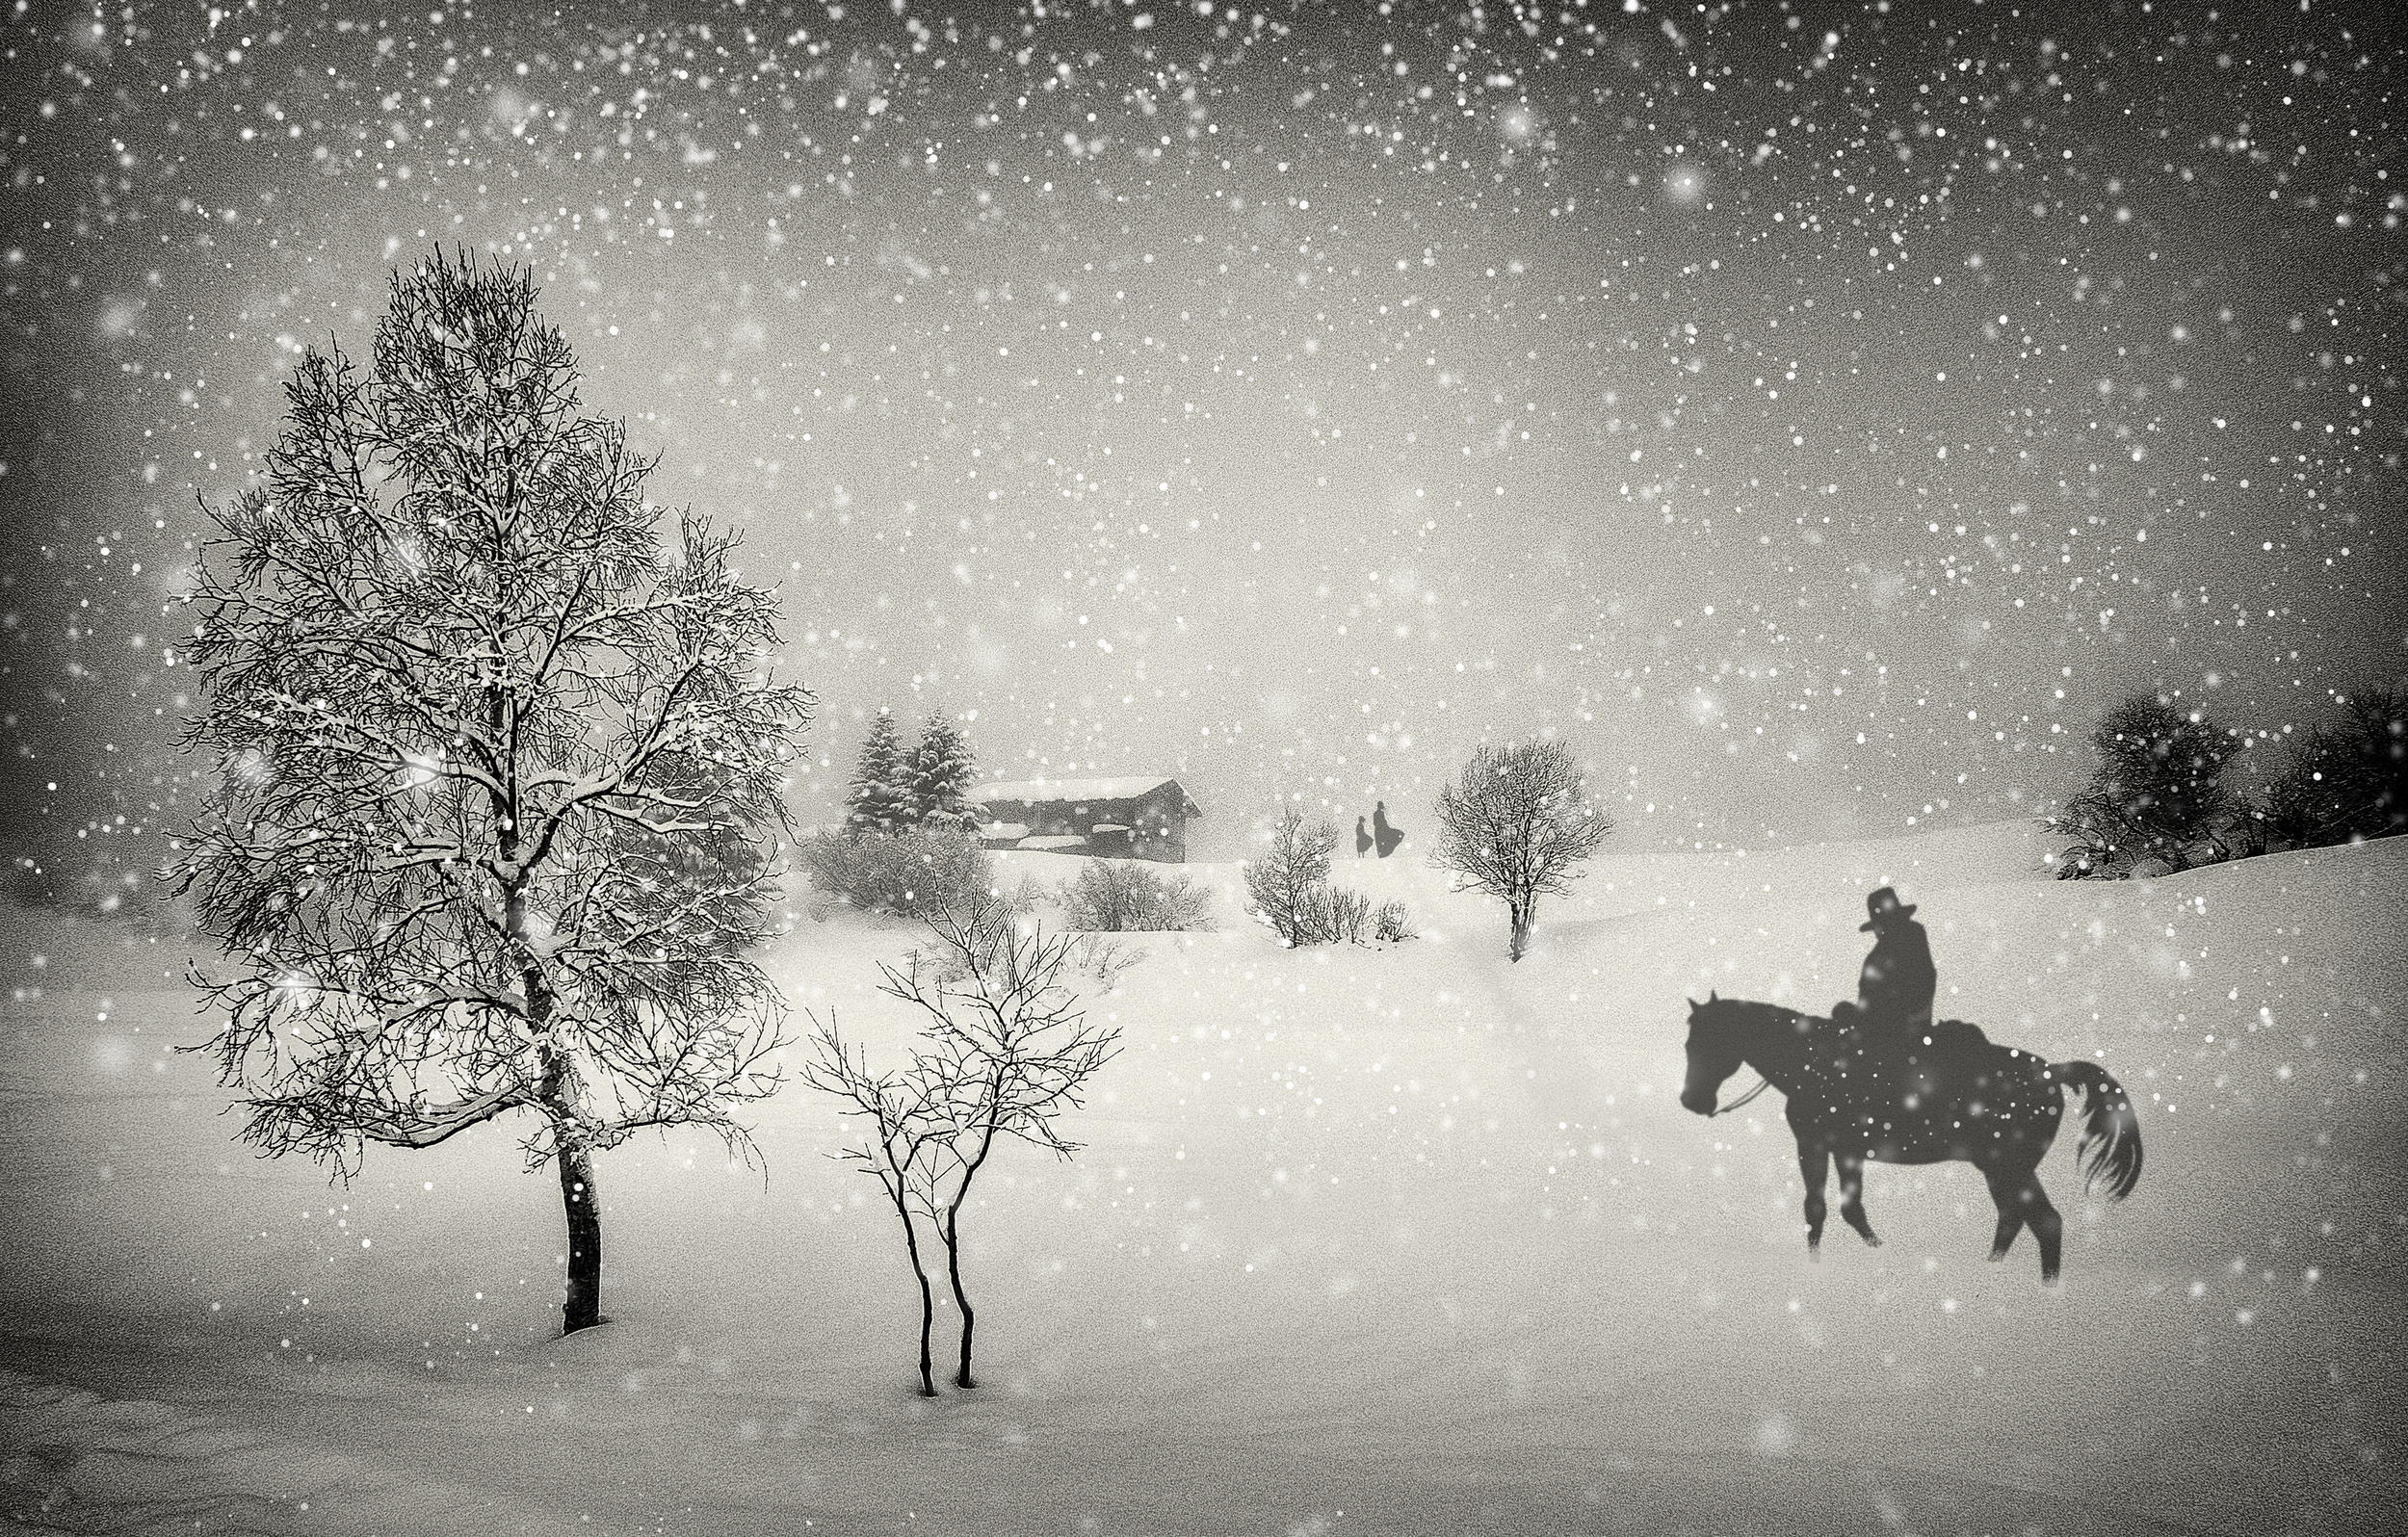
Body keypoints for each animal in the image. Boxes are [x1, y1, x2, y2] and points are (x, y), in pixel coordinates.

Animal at [1678, 993, 2142, 1282]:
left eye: (1706, 1041)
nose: (1691, 1101)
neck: (1811, 1061)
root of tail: (2051, 1071)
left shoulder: (1812, 1145)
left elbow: (1817, 1211)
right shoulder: (1847, 1152)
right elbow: (1850, 1211)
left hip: (2008, 1164)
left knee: (2045, 1222)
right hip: (1998, 1168)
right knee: (2011, 1219)